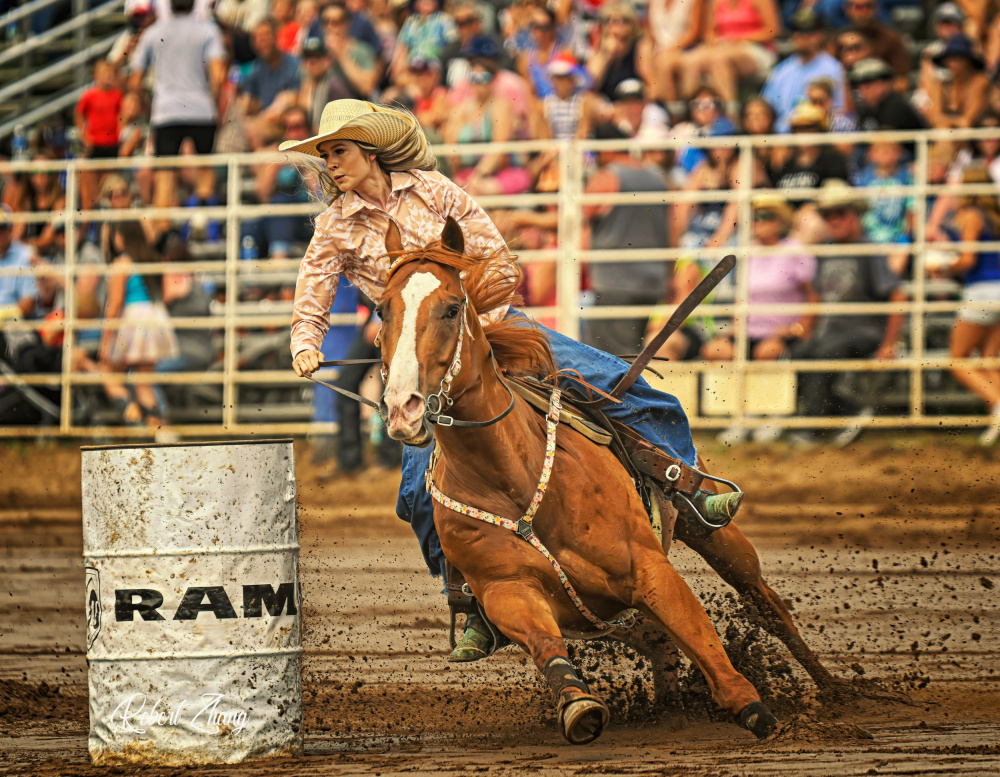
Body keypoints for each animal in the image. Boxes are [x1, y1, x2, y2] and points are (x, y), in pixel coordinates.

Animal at [378, 217, 824, 740]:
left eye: (451, 308)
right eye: (382, 310)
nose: (402, 408)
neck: (513, 478)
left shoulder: (648, 569)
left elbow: (701, 636)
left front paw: (754, 709)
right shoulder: (506, 589)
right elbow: (547, 646)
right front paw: (578, 704)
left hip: (715, 537)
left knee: (766, 606)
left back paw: (837, 691)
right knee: (660, 644)